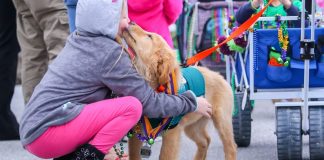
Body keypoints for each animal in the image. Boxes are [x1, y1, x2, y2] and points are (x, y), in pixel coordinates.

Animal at [121, 22, 235, 160]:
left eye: (149, 36)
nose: (131, 22)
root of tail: (220, 76)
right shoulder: (136, 132)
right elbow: (134, 155)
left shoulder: (172, 132)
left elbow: (165, 156)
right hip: (193, 125)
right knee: (205, 141)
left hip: (221, 119)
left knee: (231, 147)